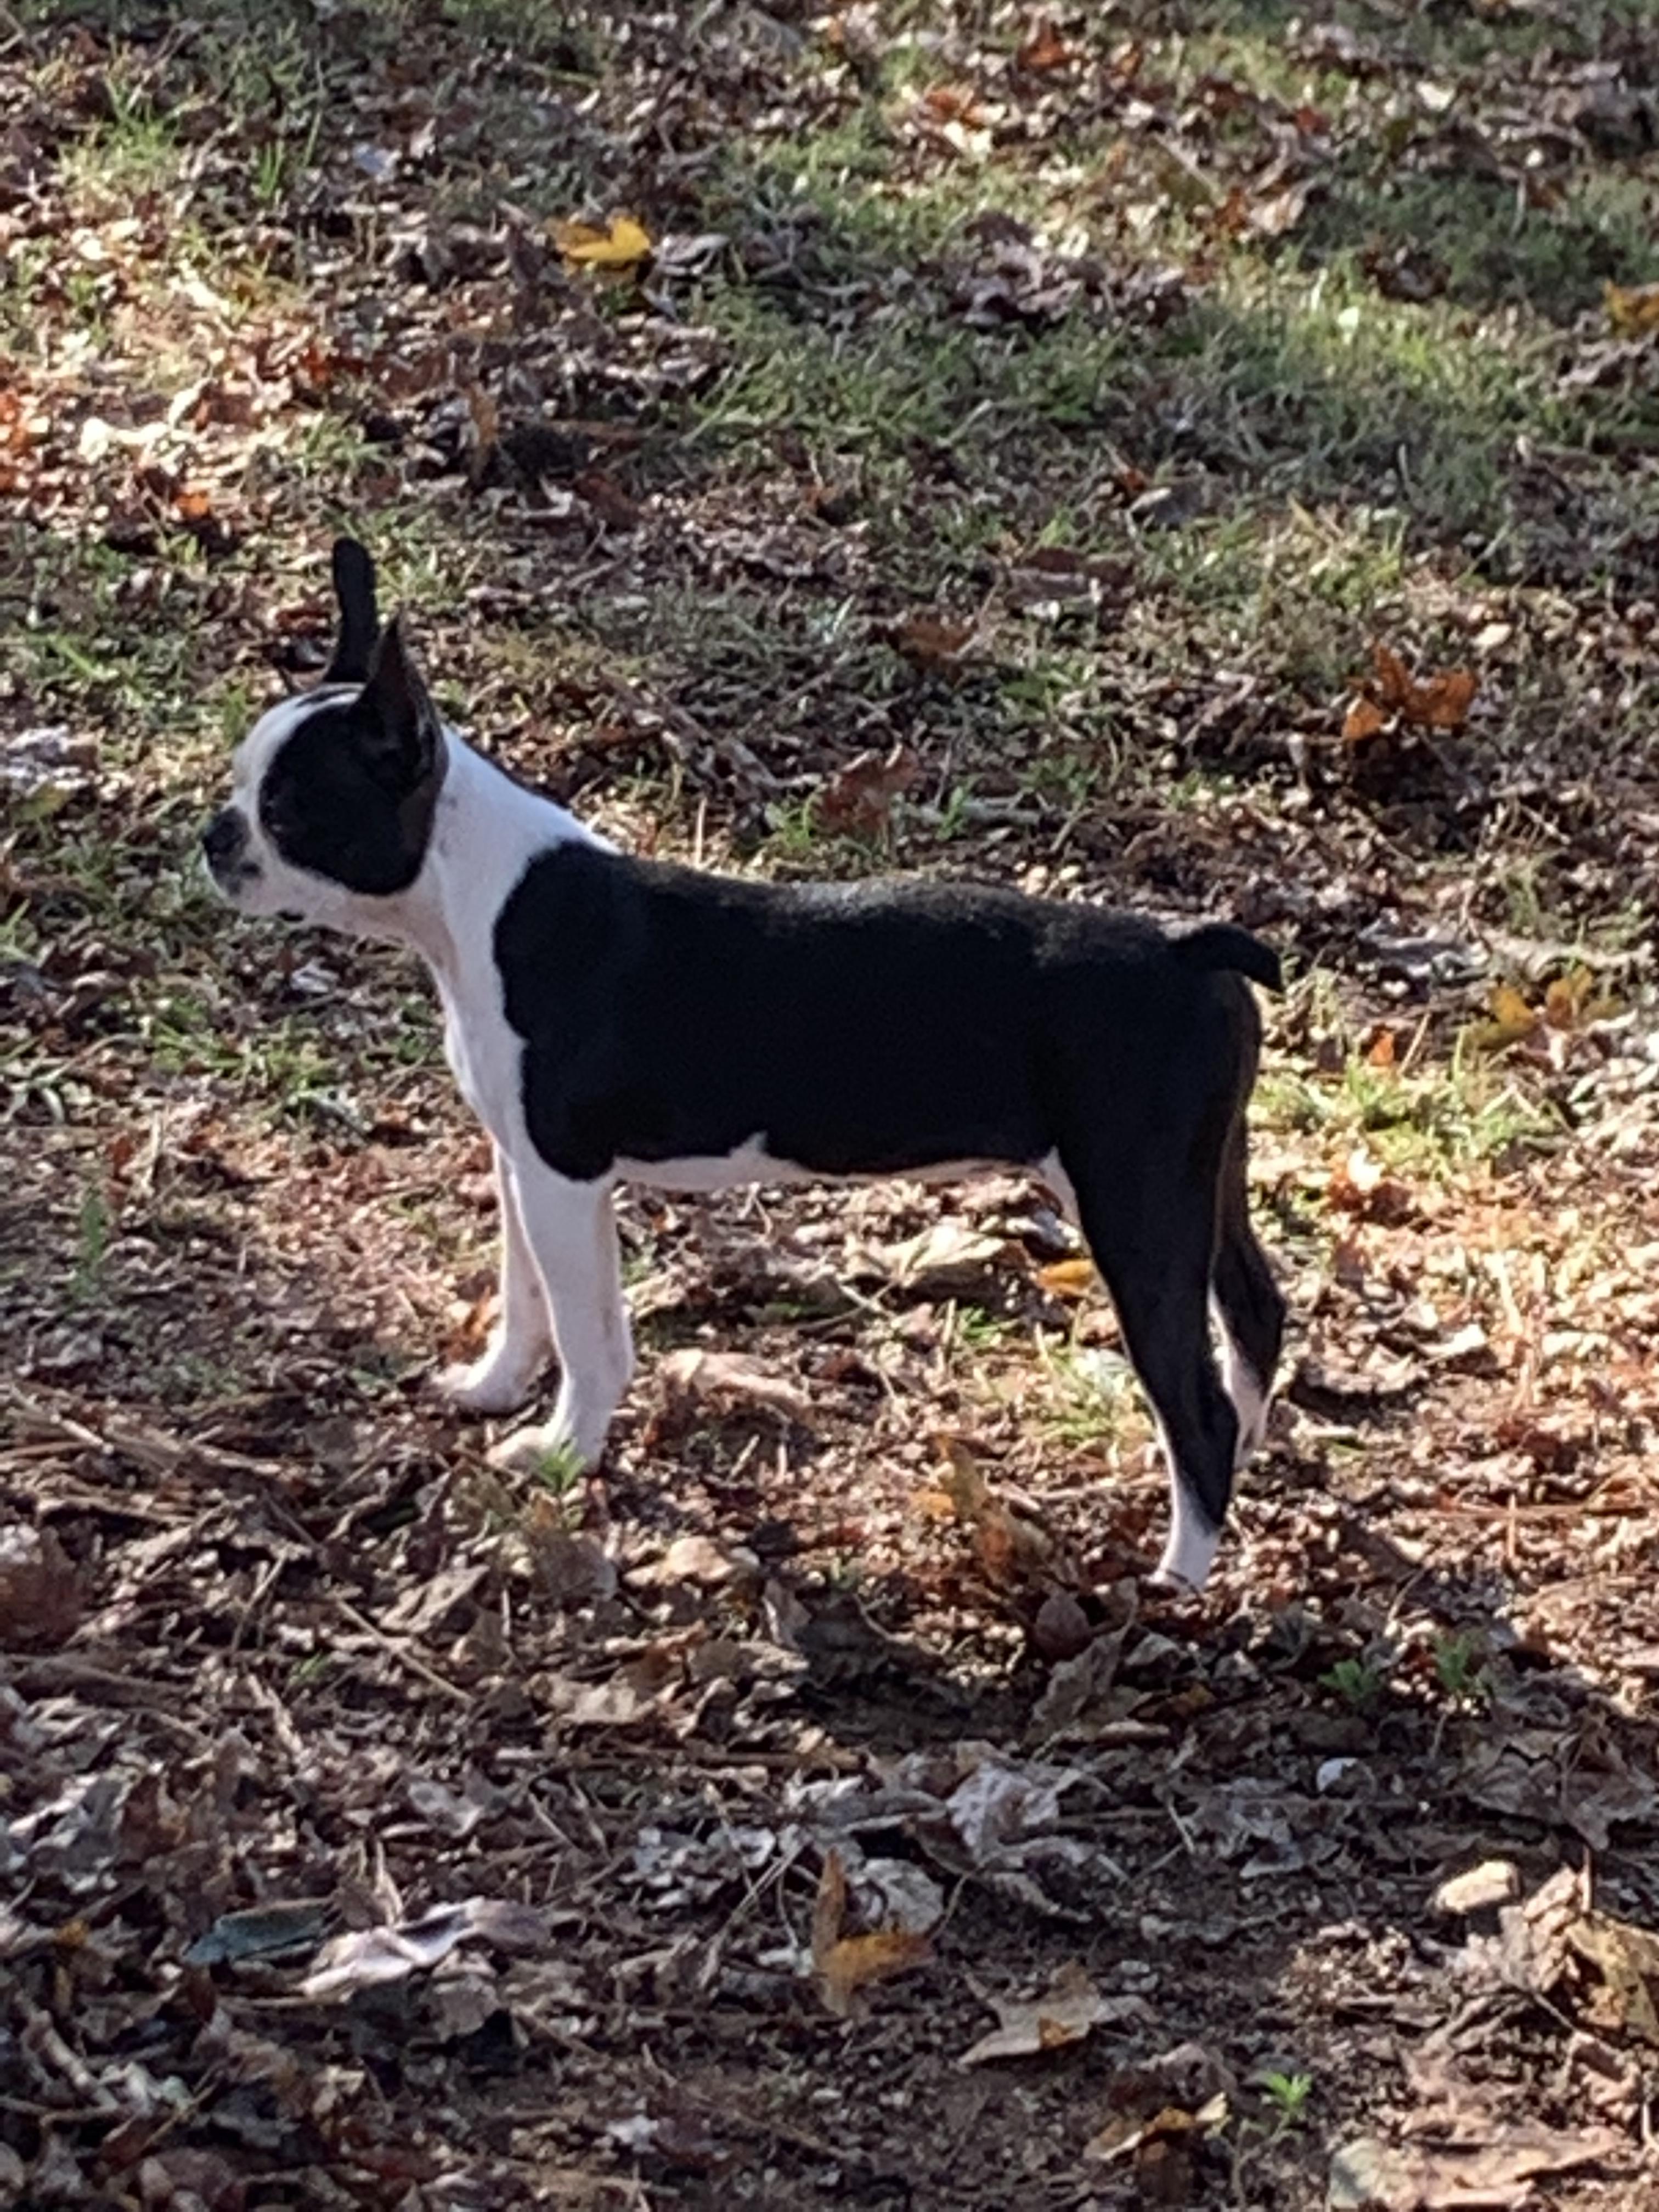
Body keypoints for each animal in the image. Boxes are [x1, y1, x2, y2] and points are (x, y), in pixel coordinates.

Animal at [202, 540, 1285, 1588]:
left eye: (287, 811)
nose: (216, 835)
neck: (478, 898)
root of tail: (1185, 944)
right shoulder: (518, 1164)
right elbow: (525, 1297)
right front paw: (491, 1389)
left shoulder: (562, 1175)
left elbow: (587, 1329)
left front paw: (561, 1454)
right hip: (1201, 1179)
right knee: (1255, 1314)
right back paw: (1240, 1479)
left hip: (1134, 1207)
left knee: (1193, 1403)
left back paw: (1179, 1582)